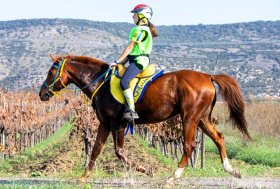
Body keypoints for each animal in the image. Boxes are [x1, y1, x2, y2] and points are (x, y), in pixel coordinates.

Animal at [38, 54, 250, 183]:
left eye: (50, 72)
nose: (41, 94)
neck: (101, 83)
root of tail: (207, 76)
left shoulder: (118, 123)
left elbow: (119, 152)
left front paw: (146, 170)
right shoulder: (104, 123)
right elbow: (97, 149)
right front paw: (84, 176)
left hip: (190, 117)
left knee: (189, 145)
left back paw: (173, 177)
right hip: (202, 118)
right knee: (219, 138)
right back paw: (231, 170)